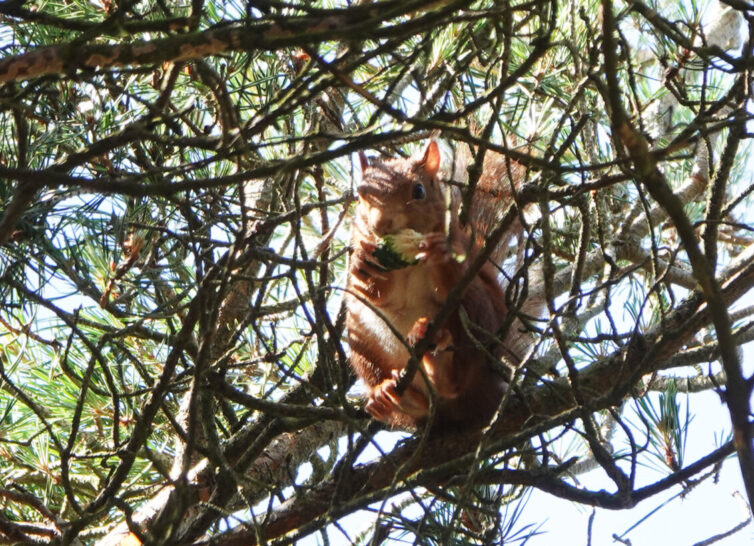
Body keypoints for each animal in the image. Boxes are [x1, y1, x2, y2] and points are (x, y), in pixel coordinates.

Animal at [346, 140, 524, 430]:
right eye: (360, 195)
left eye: (418, 191)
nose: (380, 224)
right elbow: (378, 294)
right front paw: (364, 263)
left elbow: (450, 283)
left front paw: (441, 254)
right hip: (361, 340)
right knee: (412, 405)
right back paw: (389, 396)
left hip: (476, 317)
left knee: (455, 382)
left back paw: (437, 356)